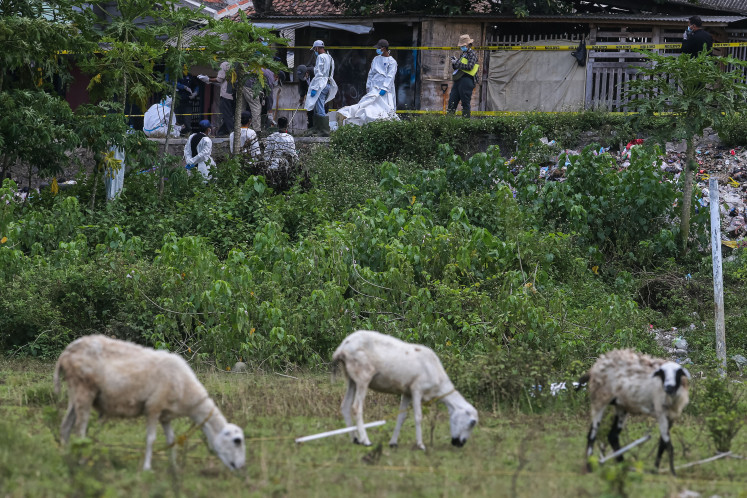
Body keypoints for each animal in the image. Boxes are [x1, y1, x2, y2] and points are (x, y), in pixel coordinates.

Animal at [53, 335, 245, 471]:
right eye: (237, 441)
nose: (241, 467)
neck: (187, 392)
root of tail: (65, 353)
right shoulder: (153, 407)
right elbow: (151, 439)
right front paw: (147, 468)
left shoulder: (166, 416)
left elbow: (171, 440)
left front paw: (174, 467)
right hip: (84, 389)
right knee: (80, 429)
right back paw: (81, 460)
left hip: (75, 392)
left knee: (65, 426)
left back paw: (66, 456)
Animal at [332, 330, 478, 450]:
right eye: (472, 423)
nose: (459, 444)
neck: (439, 385)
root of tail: (343, 347)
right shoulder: (417, 389)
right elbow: (418, 416)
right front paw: (420, 445)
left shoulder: (406, 392)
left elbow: (401, 417)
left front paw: (393, 443)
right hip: (363, 376)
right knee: (356, 408)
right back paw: (365, 441)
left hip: (351, 378)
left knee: (345, 406)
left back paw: (355, 439)